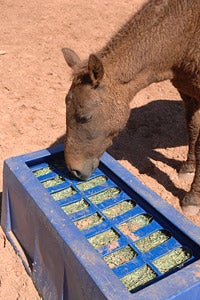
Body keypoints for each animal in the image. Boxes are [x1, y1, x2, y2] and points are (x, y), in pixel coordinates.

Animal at [62, 0, 200, 216]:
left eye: (85, 117)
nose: (73, 170)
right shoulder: (189, 94)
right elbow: (192, 129)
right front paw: (188, 168)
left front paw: (193, 199)